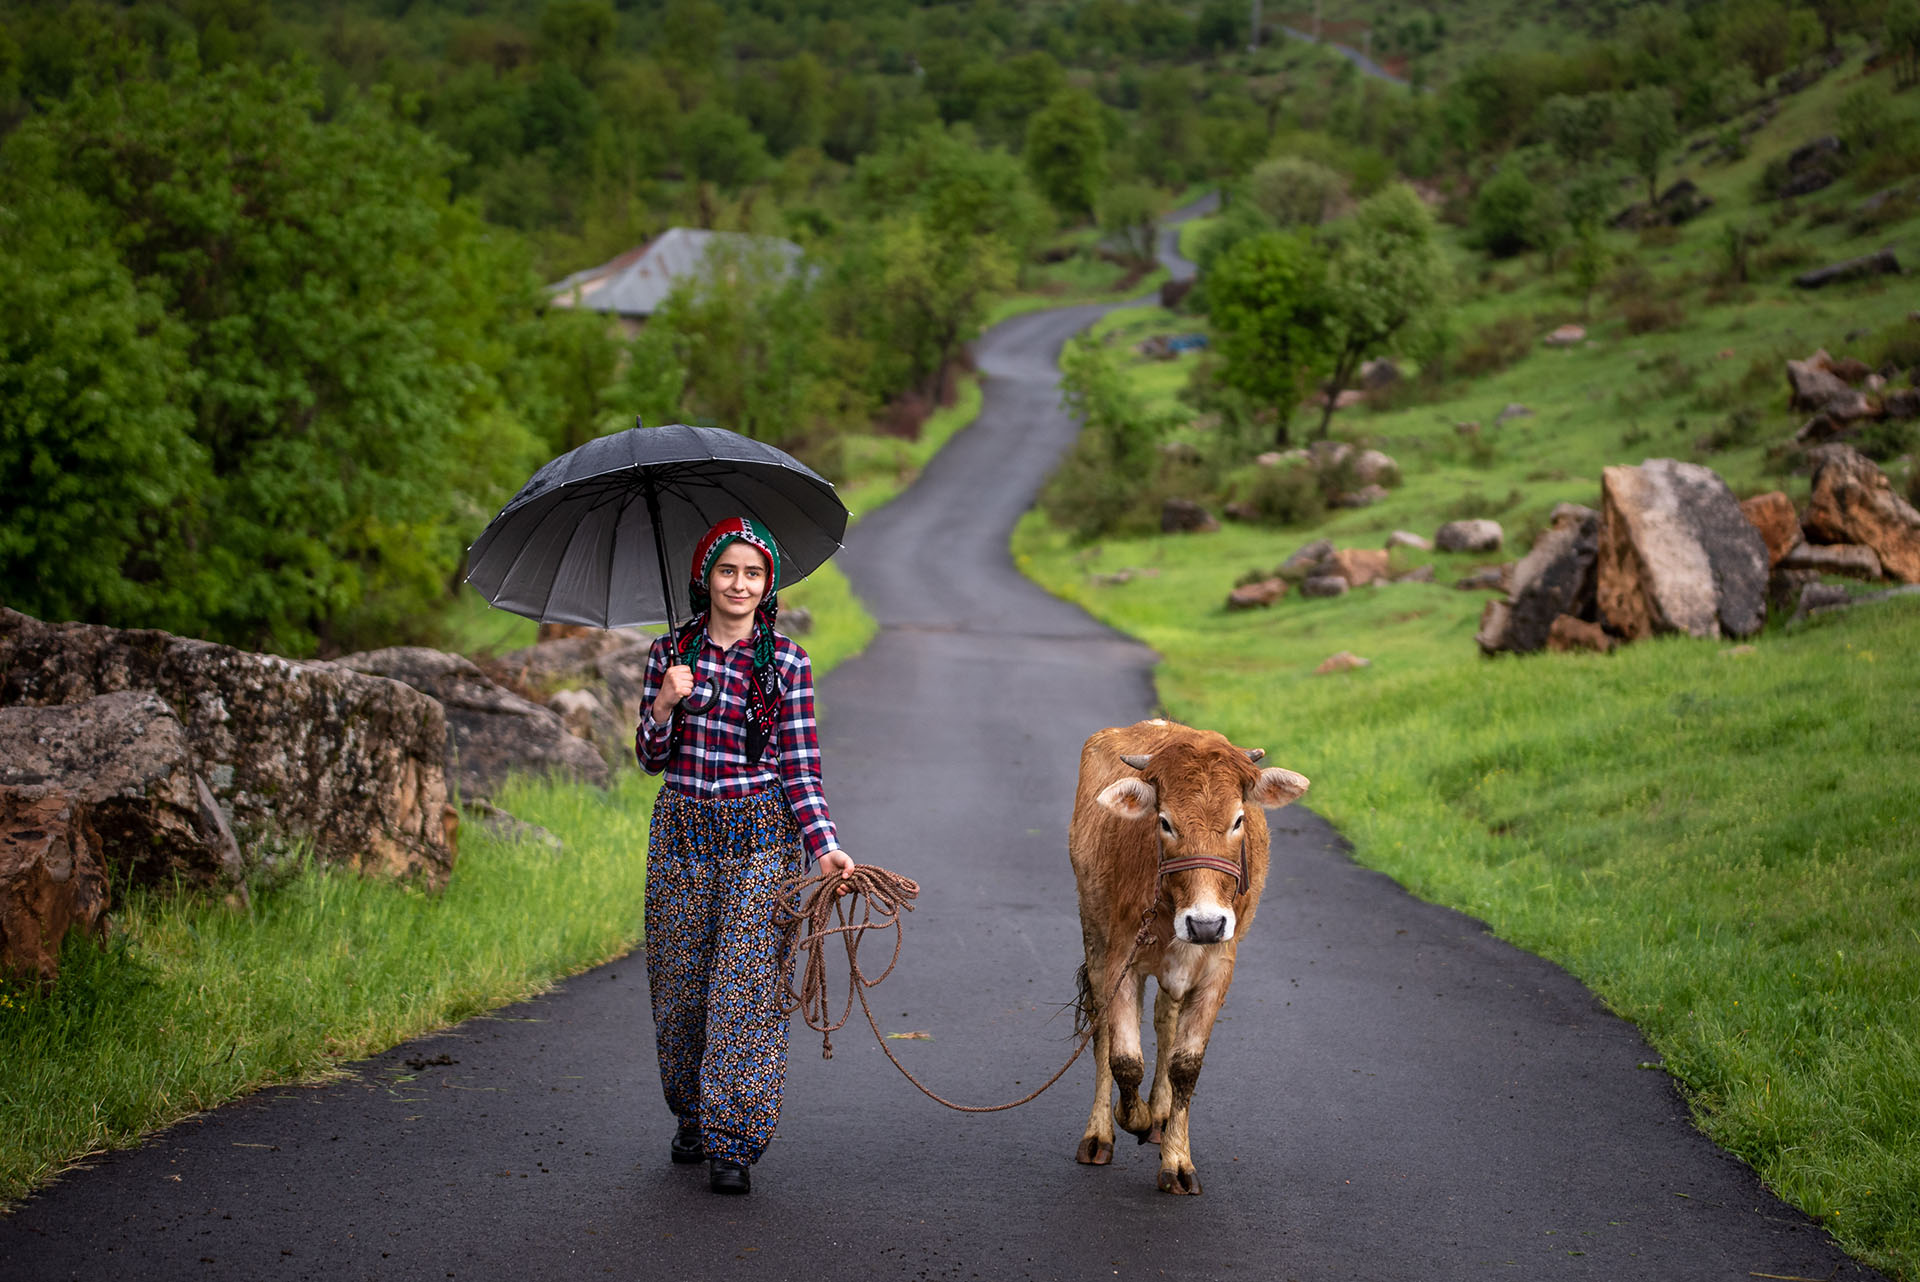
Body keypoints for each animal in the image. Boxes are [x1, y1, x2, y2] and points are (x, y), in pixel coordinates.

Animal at [1067, 721, 1305, 1189]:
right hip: (1094, 931)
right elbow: (1125, 1059)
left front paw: (1177, 1160)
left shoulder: (1218, 969)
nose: (1206, 924)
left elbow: (1186, 1065)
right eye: (1165, 822)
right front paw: (1133, 1117)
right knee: (1103, 1031)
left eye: (1238, 820)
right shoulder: (1122, 959)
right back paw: (1100, 1135)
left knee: (1166, 1019)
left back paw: (1160, 1116)